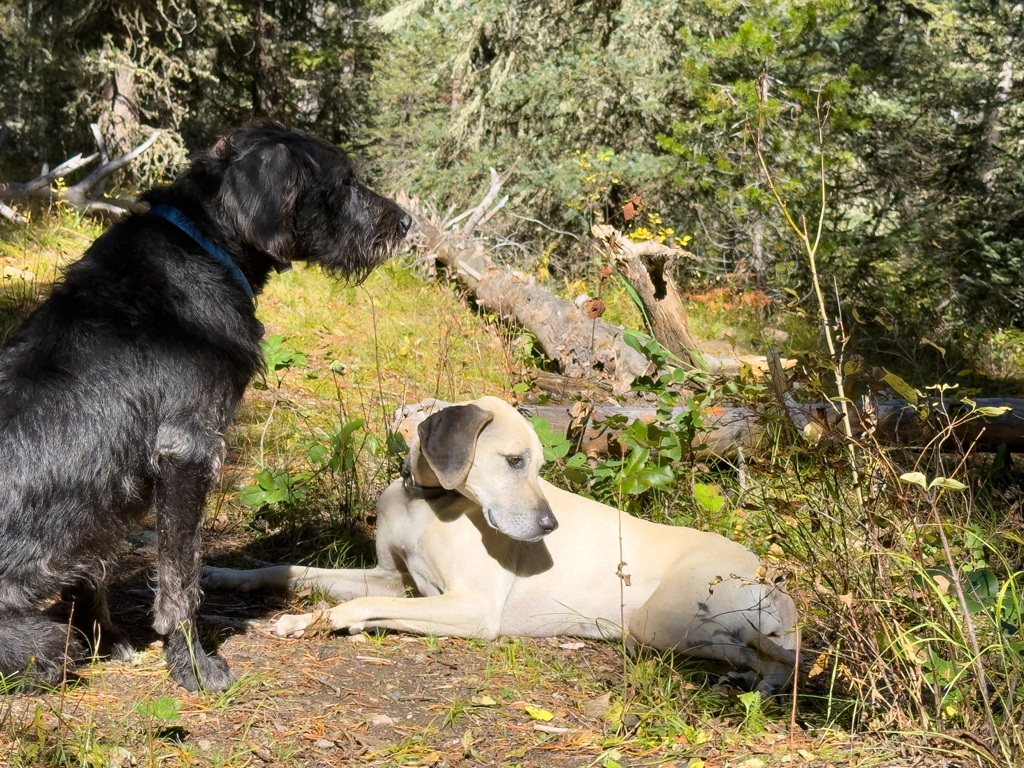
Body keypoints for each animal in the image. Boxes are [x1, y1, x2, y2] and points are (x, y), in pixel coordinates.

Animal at [1, 124, 407, 692]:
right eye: (345, 180)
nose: (407, 223)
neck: (204, 245)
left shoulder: (110, 494)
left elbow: (94, 567)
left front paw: (111, 641)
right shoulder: (186, 452)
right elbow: (181, 580)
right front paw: (192, 664)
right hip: (42, 640)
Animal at [203, 399, 798, 696]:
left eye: (539, 466)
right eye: (515, 461)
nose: (549, 525)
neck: (426, 503)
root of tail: (773, 580)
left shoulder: (470, 608)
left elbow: (366, 605)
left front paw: (313, 621)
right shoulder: (388, 575)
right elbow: (292, 568)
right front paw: (223, 574)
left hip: (662, 623)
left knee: (771, 656)